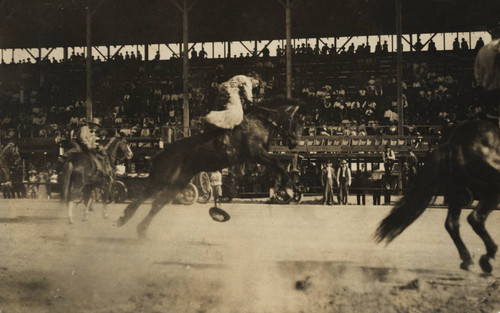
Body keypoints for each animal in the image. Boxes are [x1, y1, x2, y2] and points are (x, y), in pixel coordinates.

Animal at [117, 95, 302, 236]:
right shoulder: (256, 154)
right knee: (146, 194)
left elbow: (277, 165)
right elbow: (278, 163)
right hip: (165, 179)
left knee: (157, 203)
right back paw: (126, 218)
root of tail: (164, 152)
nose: (295, 142)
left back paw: (139, 228)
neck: (258, 124)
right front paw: (288, 189)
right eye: (292, 120)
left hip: (178, 183)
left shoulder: (259, 157)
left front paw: (284, 189)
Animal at [376, 119, 500, 272]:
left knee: (452, 224)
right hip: (490, 191)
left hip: (457, 194)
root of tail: (454, 145)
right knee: (475, 218)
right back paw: (486, 258)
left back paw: (468, 259)